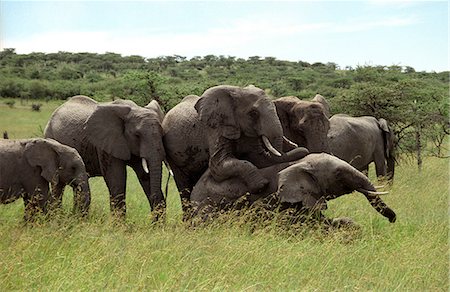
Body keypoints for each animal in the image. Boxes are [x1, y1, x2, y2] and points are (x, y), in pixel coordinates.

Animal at [163, 85, 304, 213]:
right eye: (253, 114)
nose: (302, 148)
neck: (238, 91)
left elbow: (258, 159)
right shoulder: (216, 126)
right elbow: (217, 166)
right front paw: (261, 185)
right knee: (183, 185)